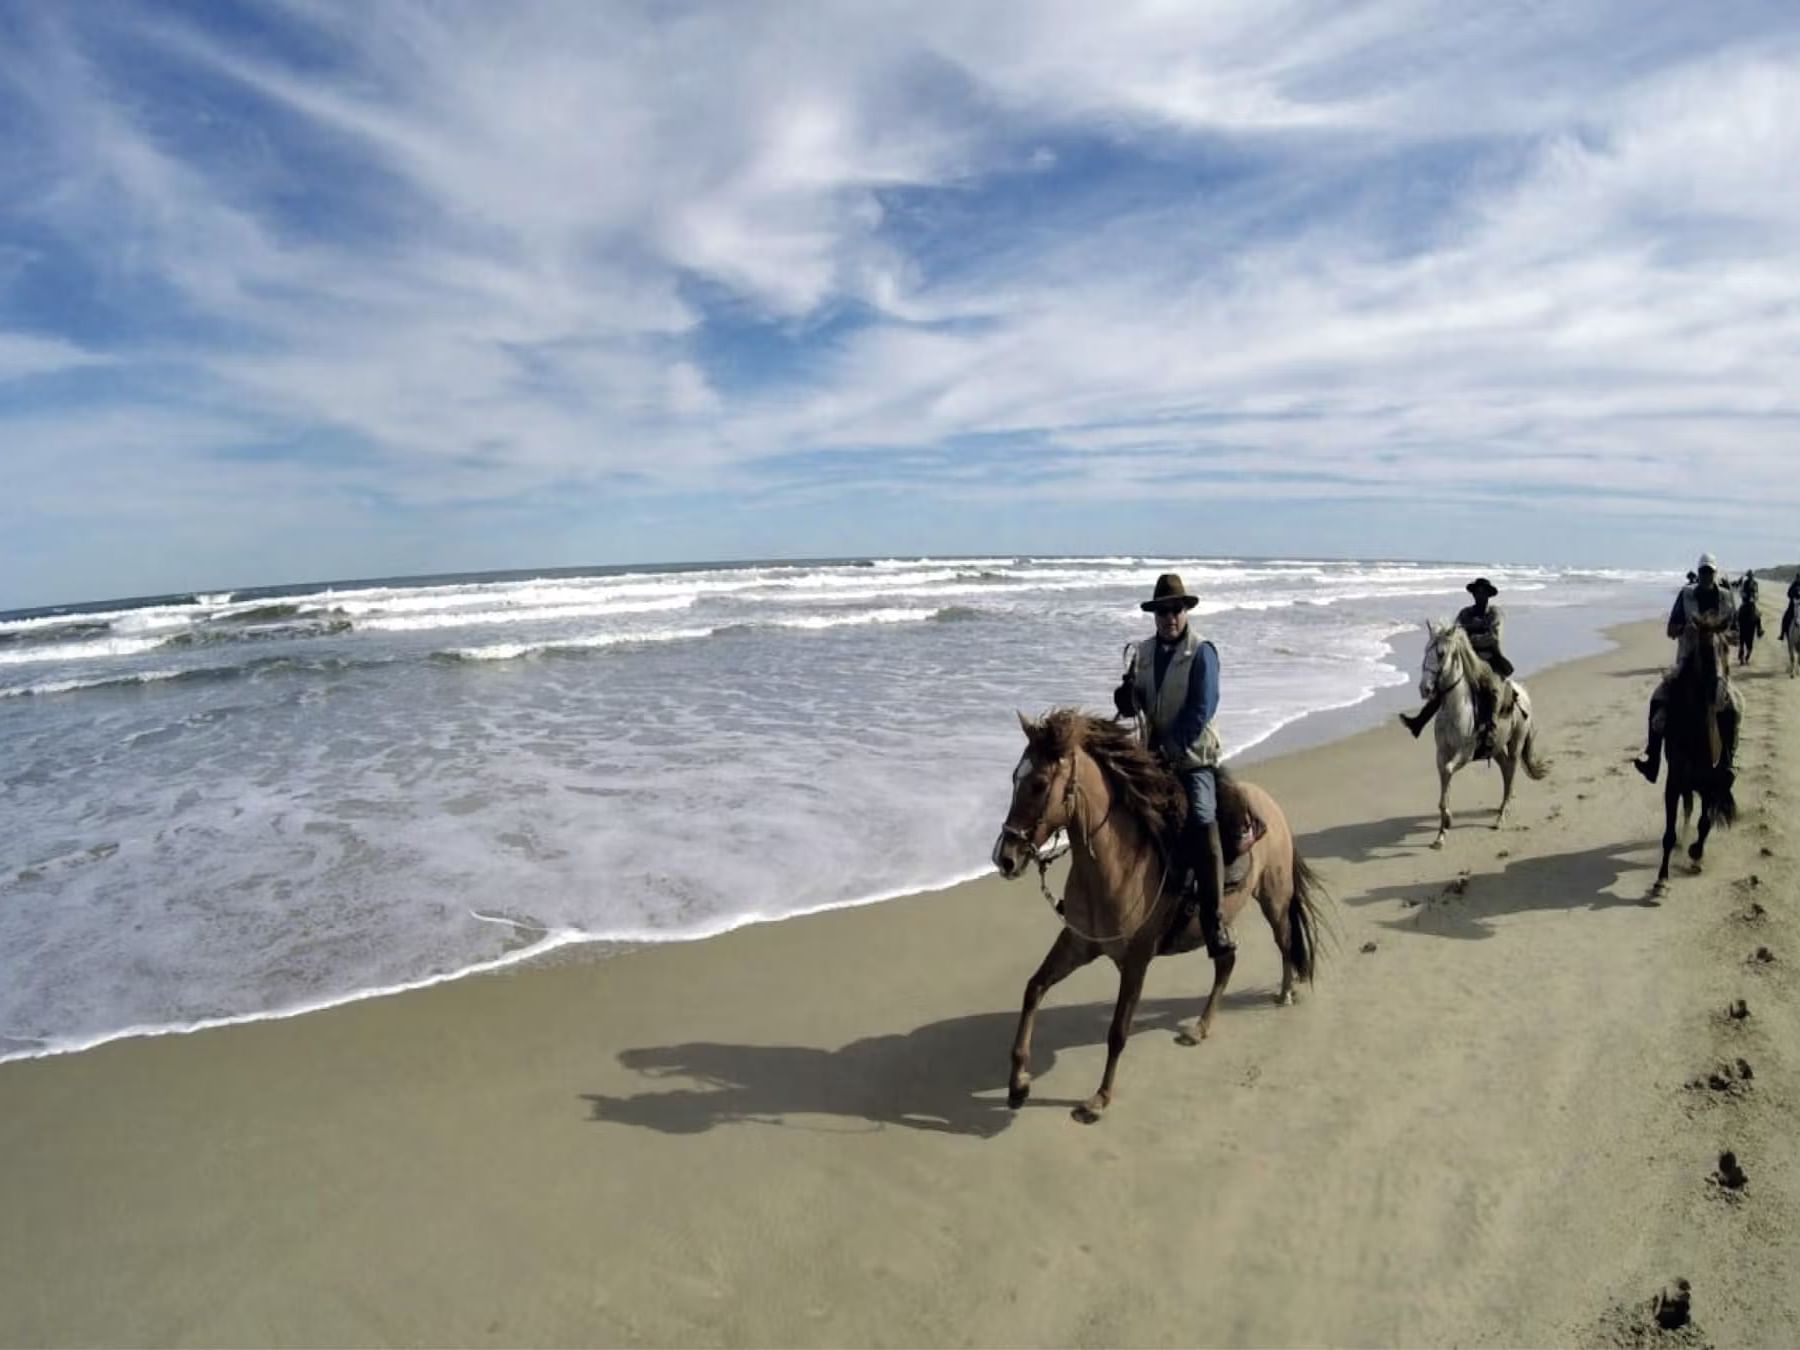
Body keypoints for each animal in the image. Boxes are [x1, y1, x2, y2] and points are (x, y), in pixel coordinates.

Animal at [986, 712, 1324, 1123]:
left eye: (1037, 784)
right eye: (1014, 778)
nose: (1005, 858)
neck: (1116, 864)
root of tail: (1268, 804)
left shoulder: (1136, 959)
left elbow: (1118, 1030)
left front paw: (1099, 1099)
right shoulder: (1079, 943)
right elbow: (1033, 989)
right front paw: (1018, 1083)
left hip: (1273, 899)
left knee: (1284, 941)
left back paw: (1285, 992)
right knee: (1226, 962)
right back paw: (1200, 1028)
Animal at [1418, 622, 1548, 849]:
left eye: (1441, 654)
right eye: (1426, 650)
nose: (1425, 688)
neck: (1456, 710)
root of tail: (1523, 693)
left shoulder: (1465, 754)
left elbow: (1449, 770)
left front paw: (1448, 822)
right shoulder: (1441, 754)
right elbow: (1444, 785)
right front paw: (1441, 835)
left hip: (1515, 743)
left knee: (1511, 771)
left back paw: (1501, 816)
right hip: (1495, 748)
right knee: (1505, 769)